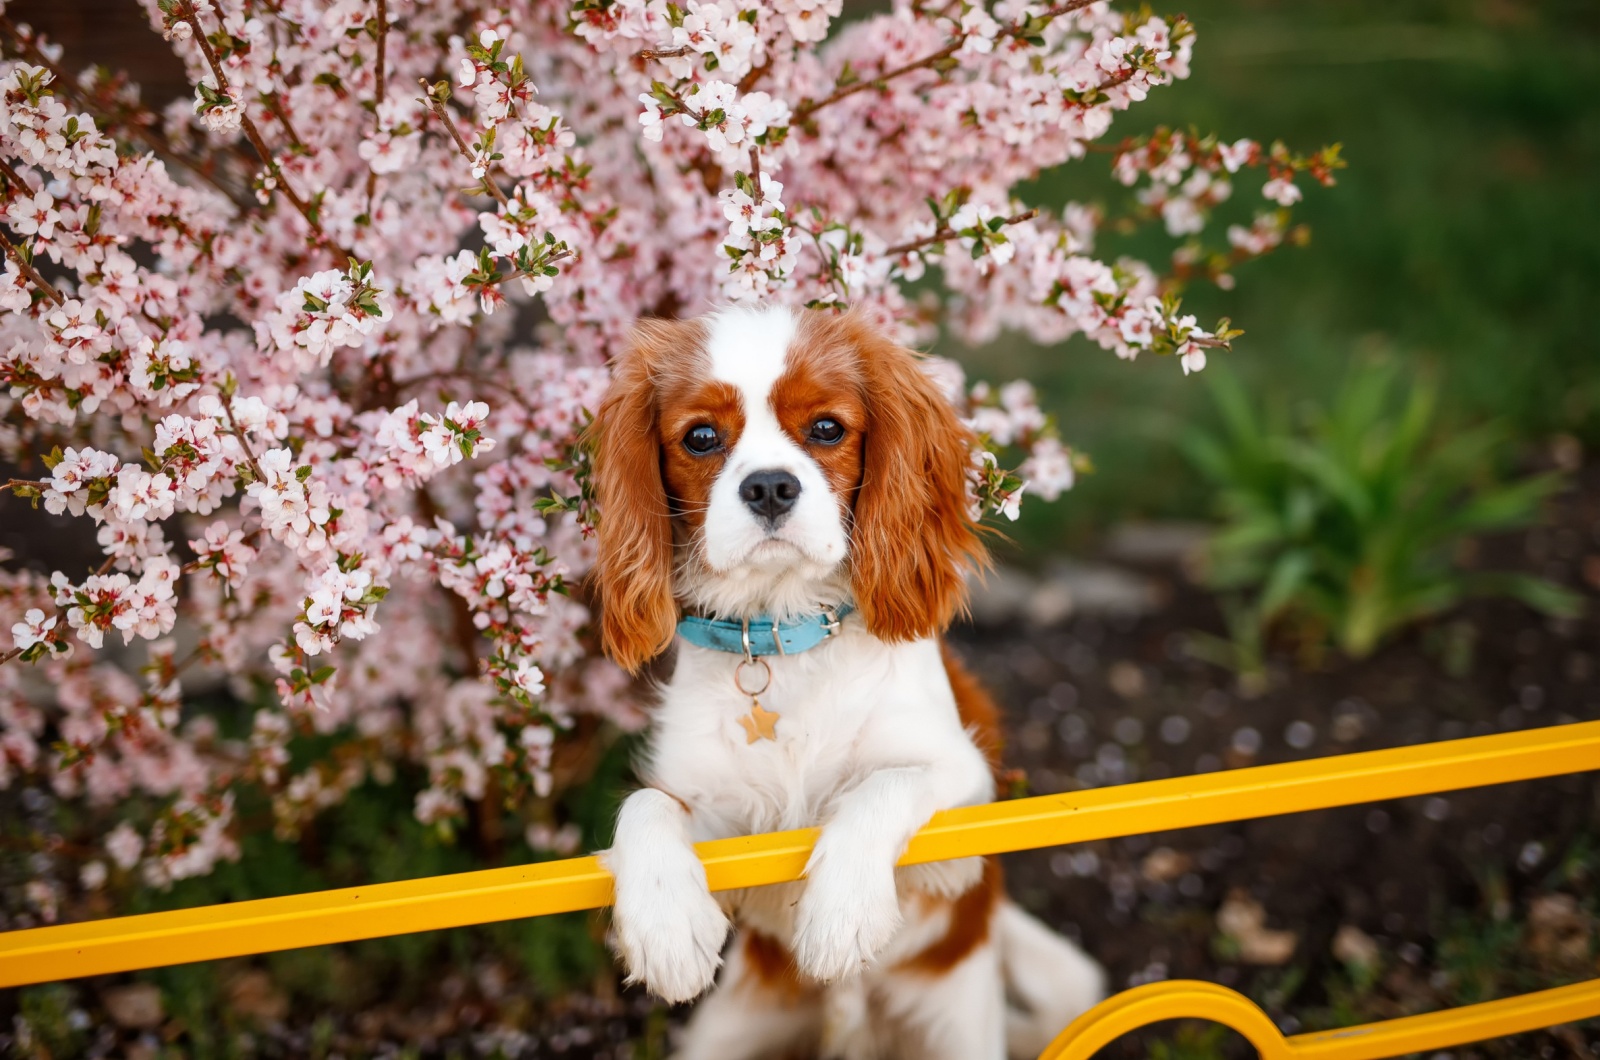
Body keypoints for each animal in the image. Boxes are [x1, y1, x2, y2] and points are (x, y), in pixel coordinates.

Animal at [585, 302, 1100, 1056]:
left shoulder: (967, 790)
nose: (770, 486)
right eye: (701, 438)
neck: (785, 635)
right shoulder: (723, 821)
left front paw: (840, 914)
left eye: (827, 428)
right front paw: (668, 929)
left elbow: (885, 787)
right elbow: (647, 807)